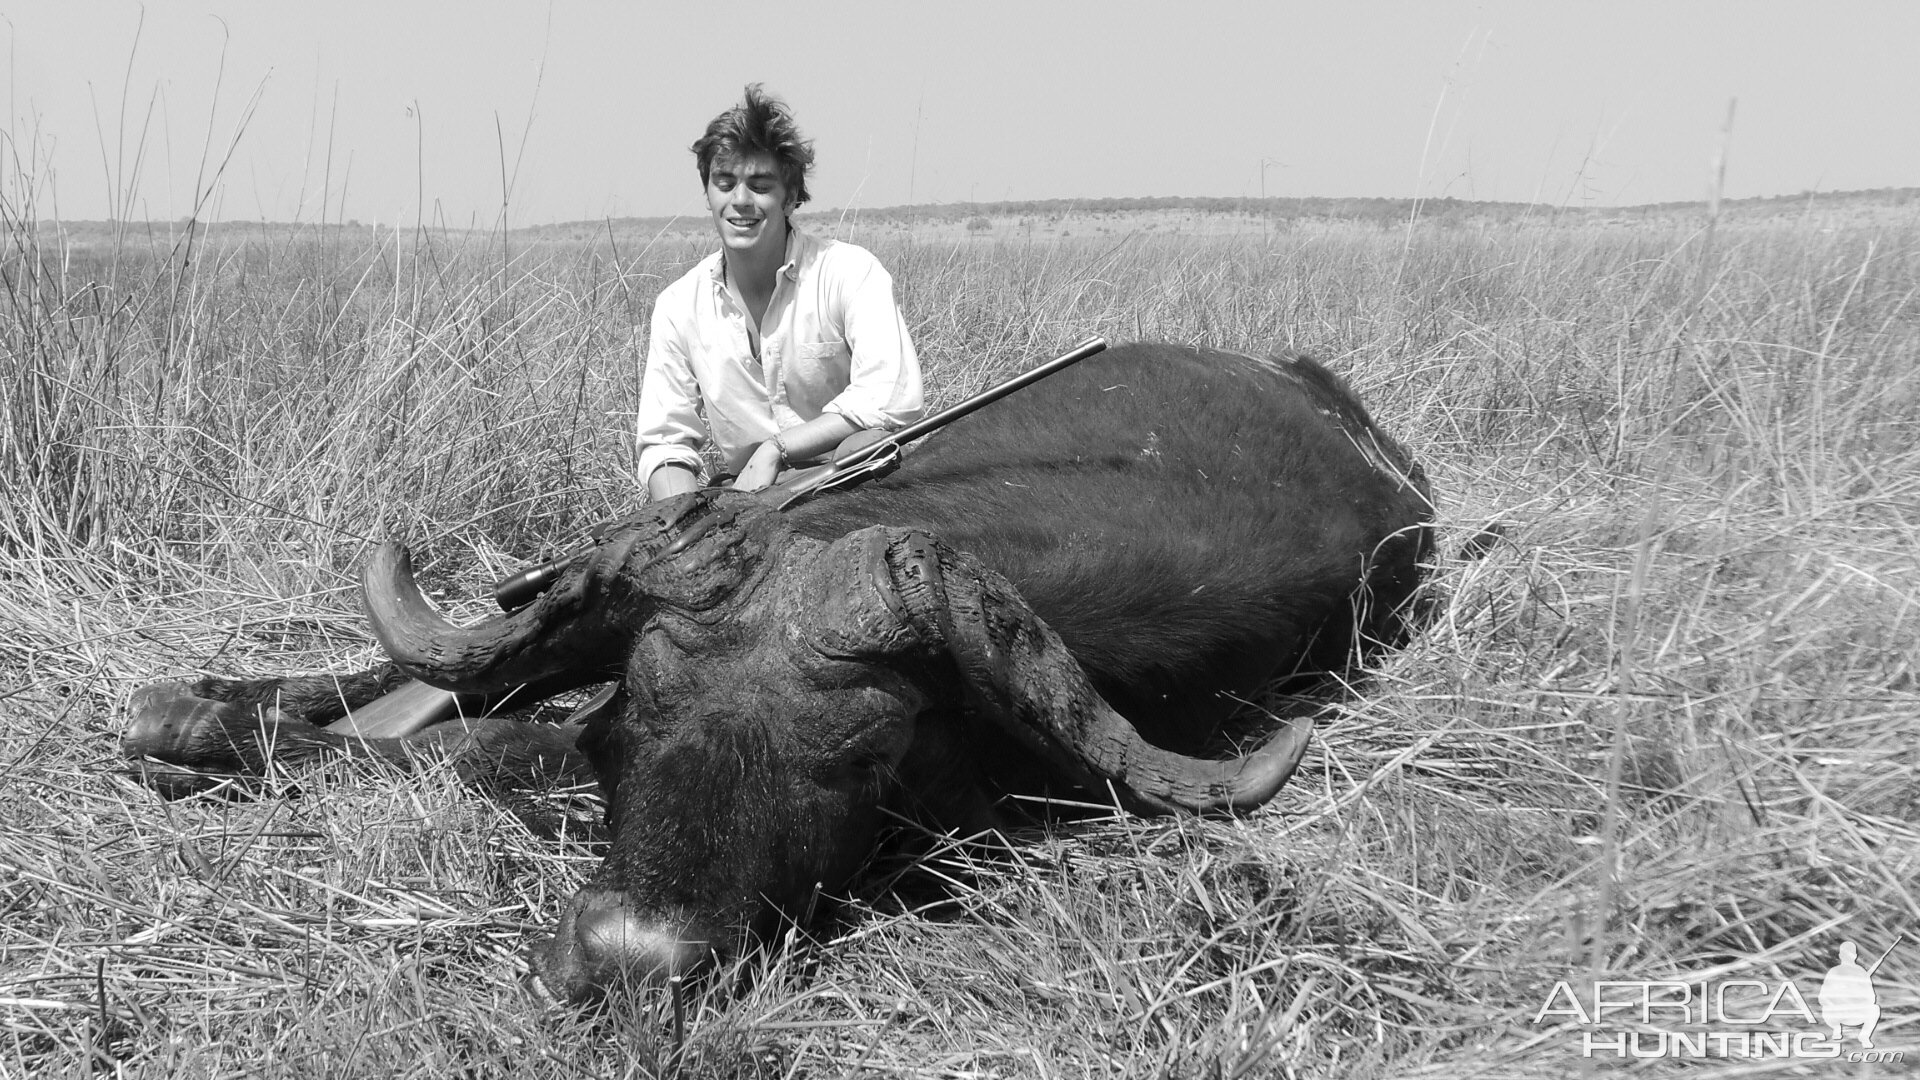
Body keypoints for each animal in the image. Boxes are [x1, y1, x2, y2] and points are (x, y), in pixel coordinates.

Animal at [120, 340, 1436, 999]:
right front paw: (184, 712)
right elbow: (442, 690)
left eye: (861, 758)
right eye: (636, 709)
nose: (629, 963)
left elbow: (465, 736)